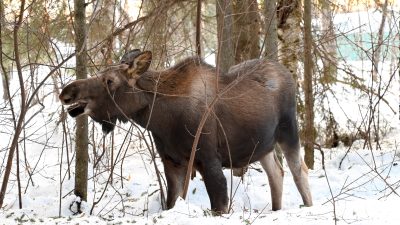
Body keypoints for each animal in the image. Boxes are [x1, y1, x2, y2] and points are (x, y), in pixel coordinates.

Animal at [60, 50, 312, 214]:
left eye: (110, 80)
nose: (67, 92)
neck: (160, 119)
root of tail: (288, 73)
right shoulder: (173, 161)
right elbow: (171, 202)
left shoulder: (208, 160)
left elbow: (219, 204)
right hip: (262, 146)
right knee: (277, 173)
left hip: (289, 131)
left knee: (299, 171)